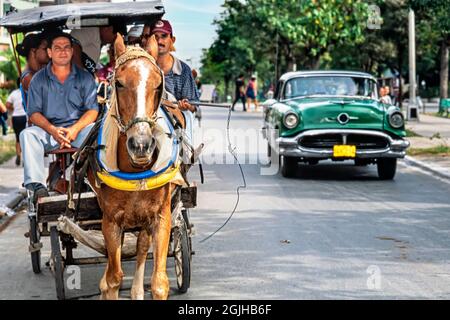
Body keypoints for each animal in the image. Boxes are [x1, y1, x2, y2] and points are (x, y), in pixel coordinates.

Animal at [88, 33, 185, 298]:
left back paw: (137, 290)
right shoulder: (110, 221)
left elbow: (160, 282)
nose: (141, 145)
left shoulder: (161, 217)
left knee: (142, 246)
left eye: (158, 84)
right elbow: (114, 277)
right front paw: (107, 286)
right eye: (119, 83)